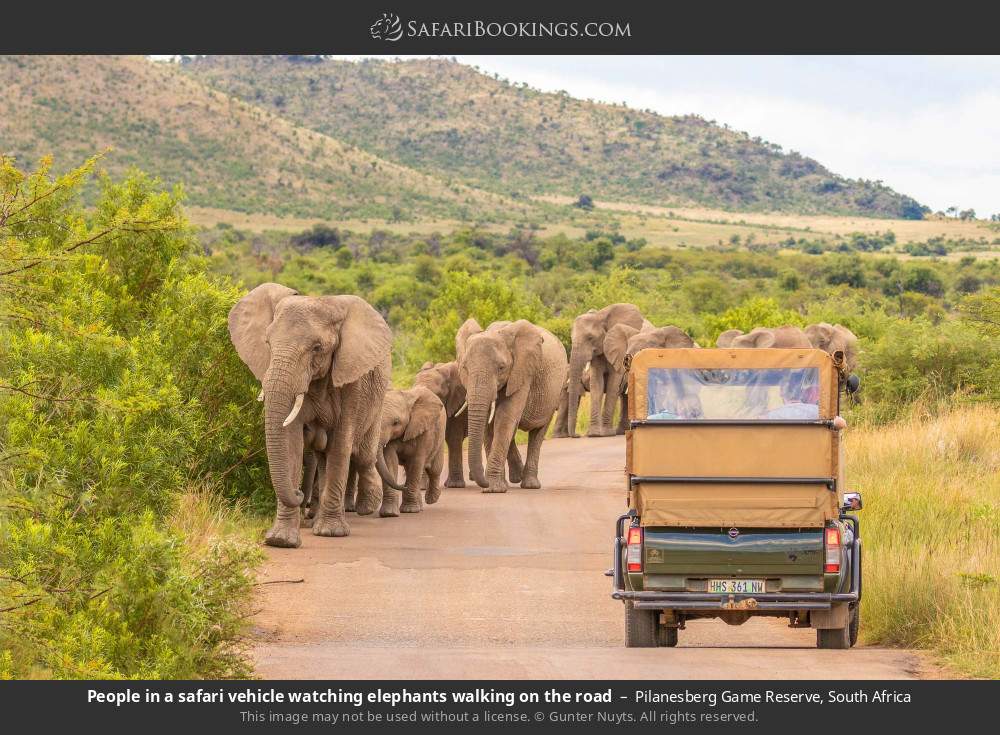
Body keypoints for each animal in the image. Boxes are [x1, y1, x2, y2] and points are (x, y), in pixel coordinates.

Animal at [228, 282, 404, 547]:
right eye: (268, 343)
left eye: (317, 348)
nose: (300, 493)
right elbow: (291, 442)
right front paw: (281, 540)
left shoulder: (351, 381)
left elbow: (341, 444)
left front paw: (331, 533)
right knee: (324, 457)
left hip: (378, 399)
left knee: (364, 456)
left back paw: (367, 506)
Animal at [377, 386, 447, 517]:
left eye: (396, 422)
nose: (402, 486)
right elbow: (389, 460)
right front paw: (389, 514)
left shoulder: (424, 430)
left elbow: (417, 461)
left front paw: (410, 510)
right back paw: (420, 506)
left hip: (440, 435)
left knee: (434, 469)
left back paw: (431, 499)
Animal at [456, 318, 568, 493]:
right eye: (464, 368)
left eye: (501, 368)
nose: (478, 480)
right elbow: (490, 425)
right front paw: (494, 487)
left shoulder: (522, 373)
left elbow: (504, 418)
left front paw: (493, 489)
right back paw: (516, 477)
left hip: (556, 391)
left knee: (538, 432)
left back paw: (529, 484)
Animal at [566, 304, 647, 437]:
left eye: (590, 338)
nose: (577, 435)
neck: (600, 316)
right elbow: (596, 384)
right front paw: (594, 434)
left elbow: (612, 385)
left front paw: (607, 433)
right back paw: (621, 431)